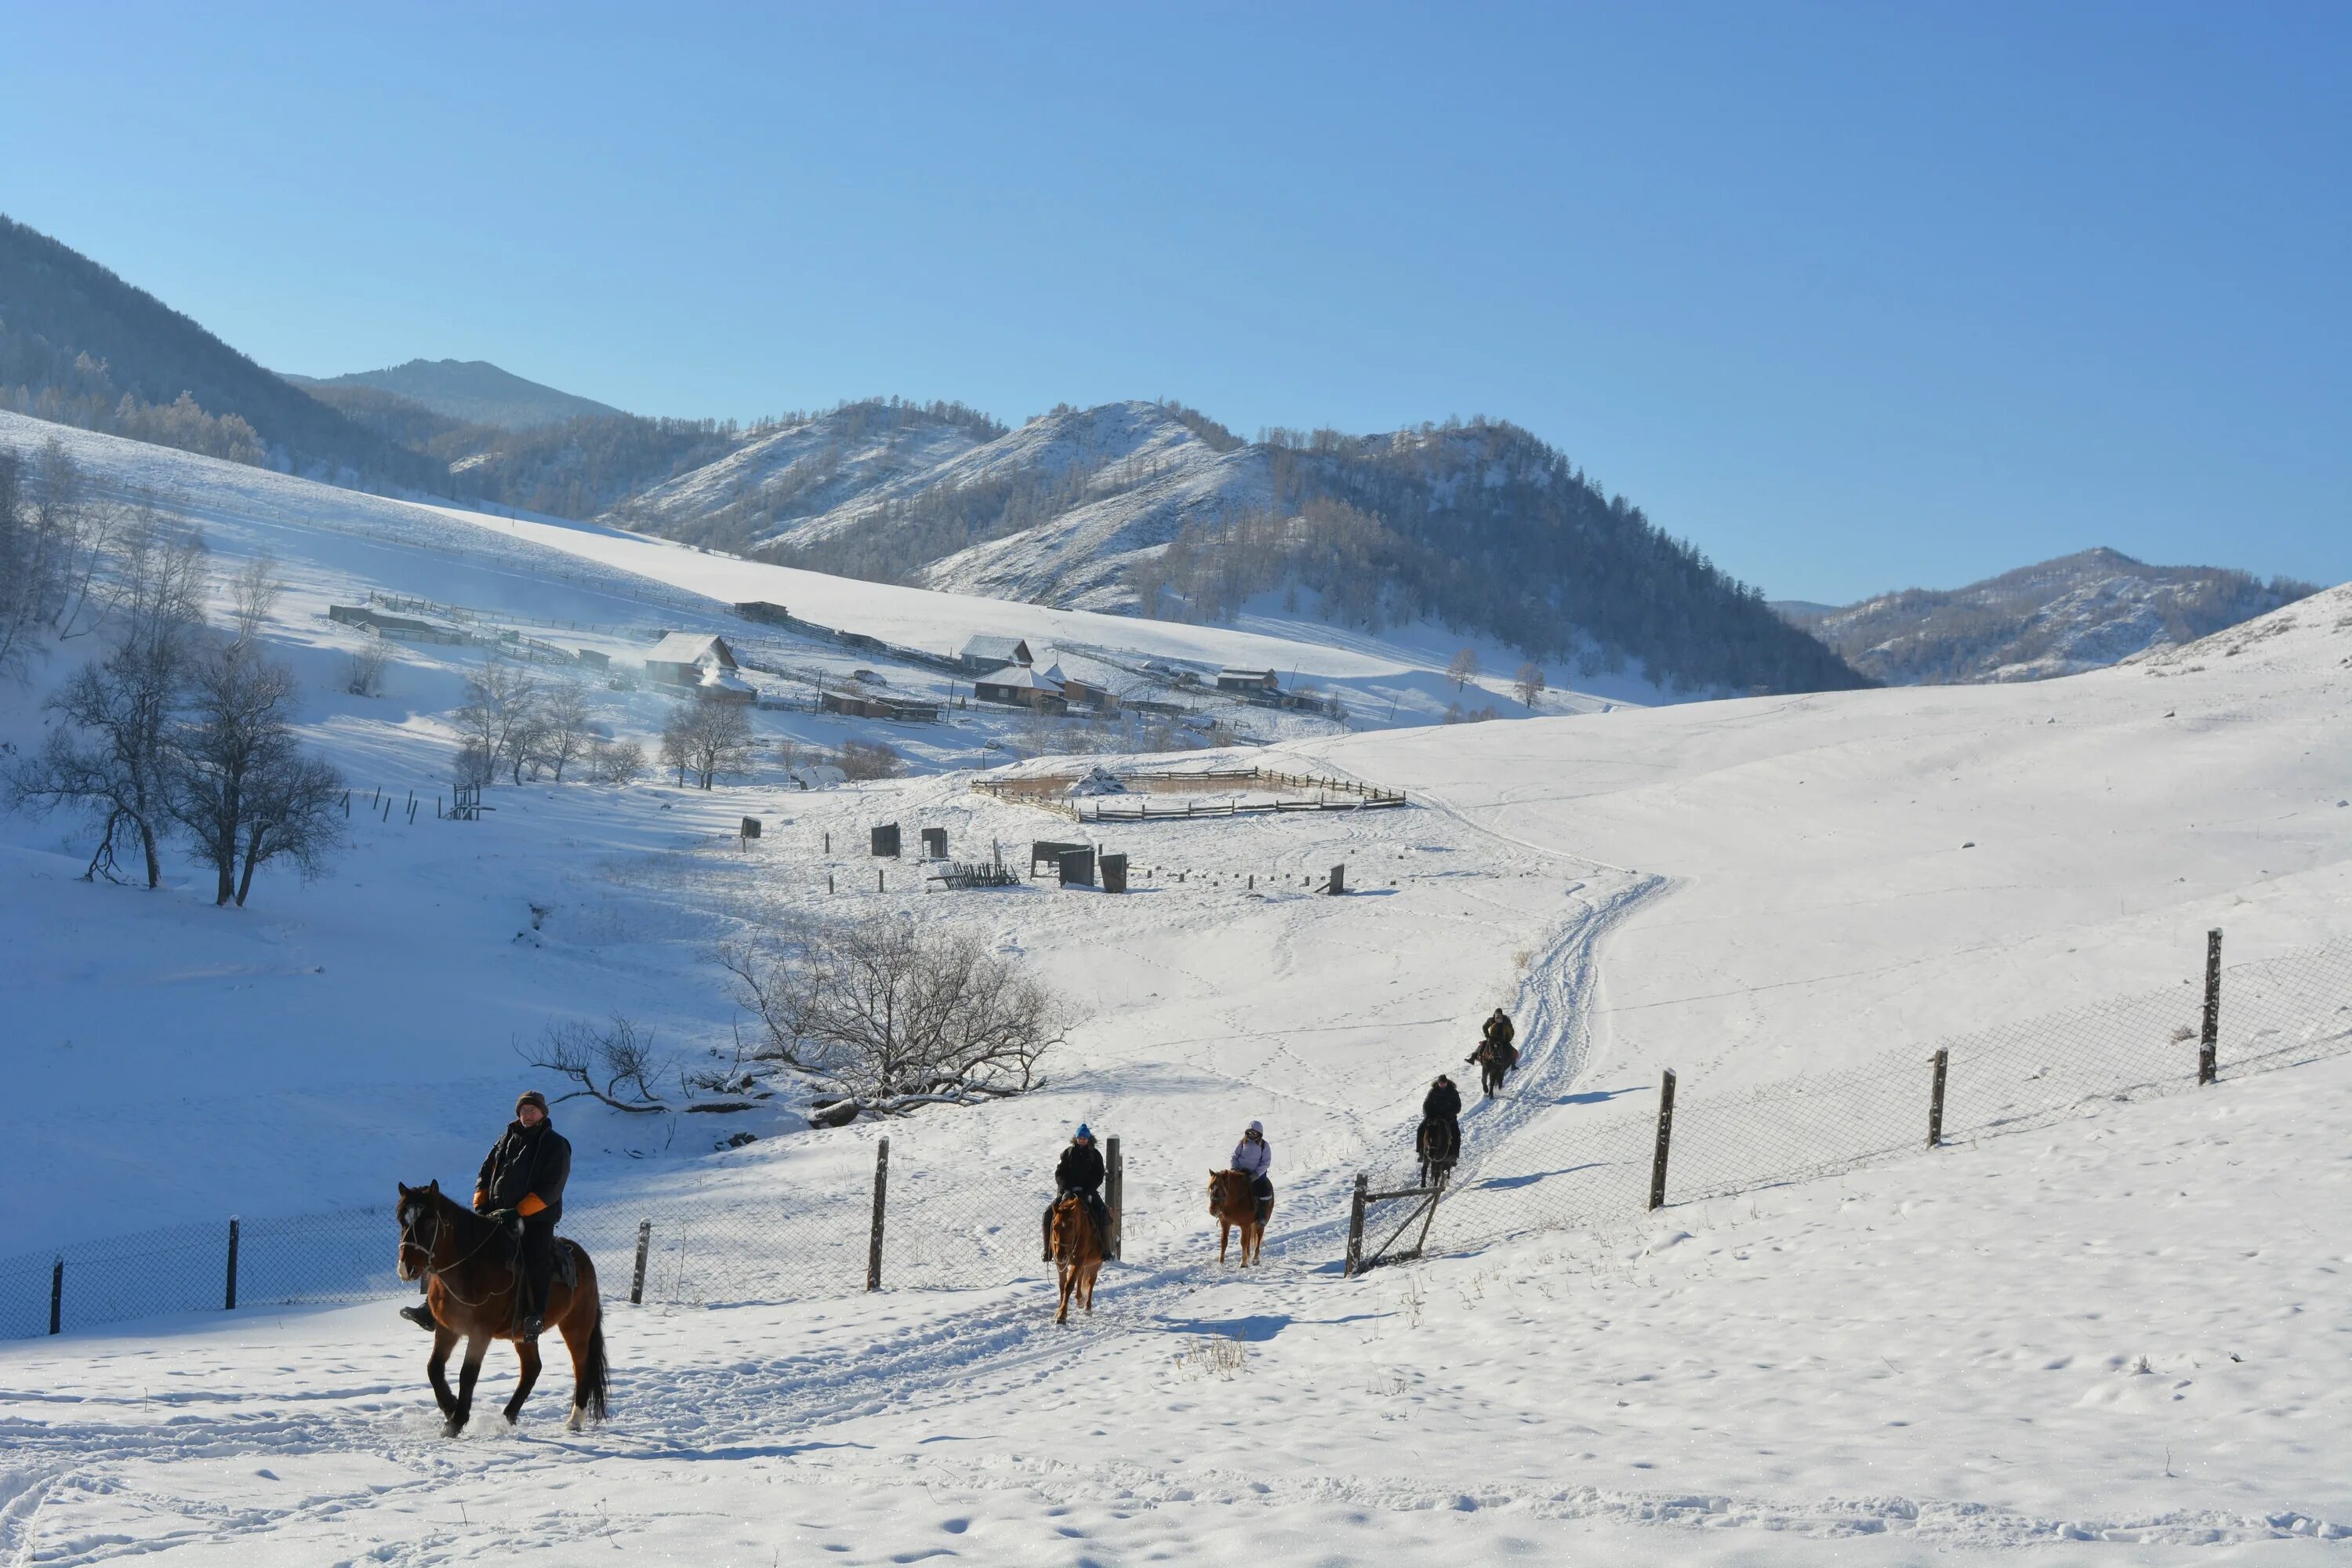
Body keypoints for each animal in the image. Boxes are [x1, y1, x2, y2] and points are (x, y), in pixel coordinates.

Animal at [390, 1189, 607, 1439]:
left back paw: (574, 1420)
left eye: (429, 1222)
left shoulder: (480, 1333)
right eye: (402, 1220)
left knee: (581, 1366)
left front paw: (456, 1420)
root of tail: (582, 1258)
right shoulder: (447, 1329)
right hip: (524, 1334)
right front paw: (450, 1407)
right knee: (532, 1368)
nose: (405, 1268)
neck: (470, 1267)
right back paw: (508, 1417)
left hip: (576, 1325)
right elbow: (434, 1368)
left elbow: (468, 1375)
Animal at [1054, 1203, 1105, 1326]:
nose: (1061, 1255)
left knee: (1091, 1282)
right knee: (1081, 1277)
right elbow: (1062, 1284)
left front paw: (1062, 1316)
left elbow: (1069, 1286)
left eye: (1071, 1229)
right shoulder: (1062, 1264)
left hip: (1095, 1263)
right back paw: (1079, 1299)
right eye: (1054, 1227)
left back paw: (1087, 1307)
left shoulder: (1078, 1261)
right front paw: (1059, 1309)